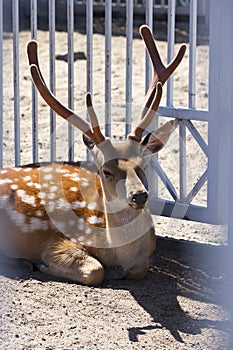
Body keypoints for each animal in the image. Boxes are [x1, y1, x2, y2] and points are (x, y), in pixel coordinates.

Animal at [0, 26, 186, 284]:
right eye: (106, 171)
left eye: (144, 165)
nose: (139, 195)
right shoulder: (57, 242)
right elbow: (95, 271)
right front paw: (42, 265)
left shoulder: (143, 261)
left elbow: (140, 269)